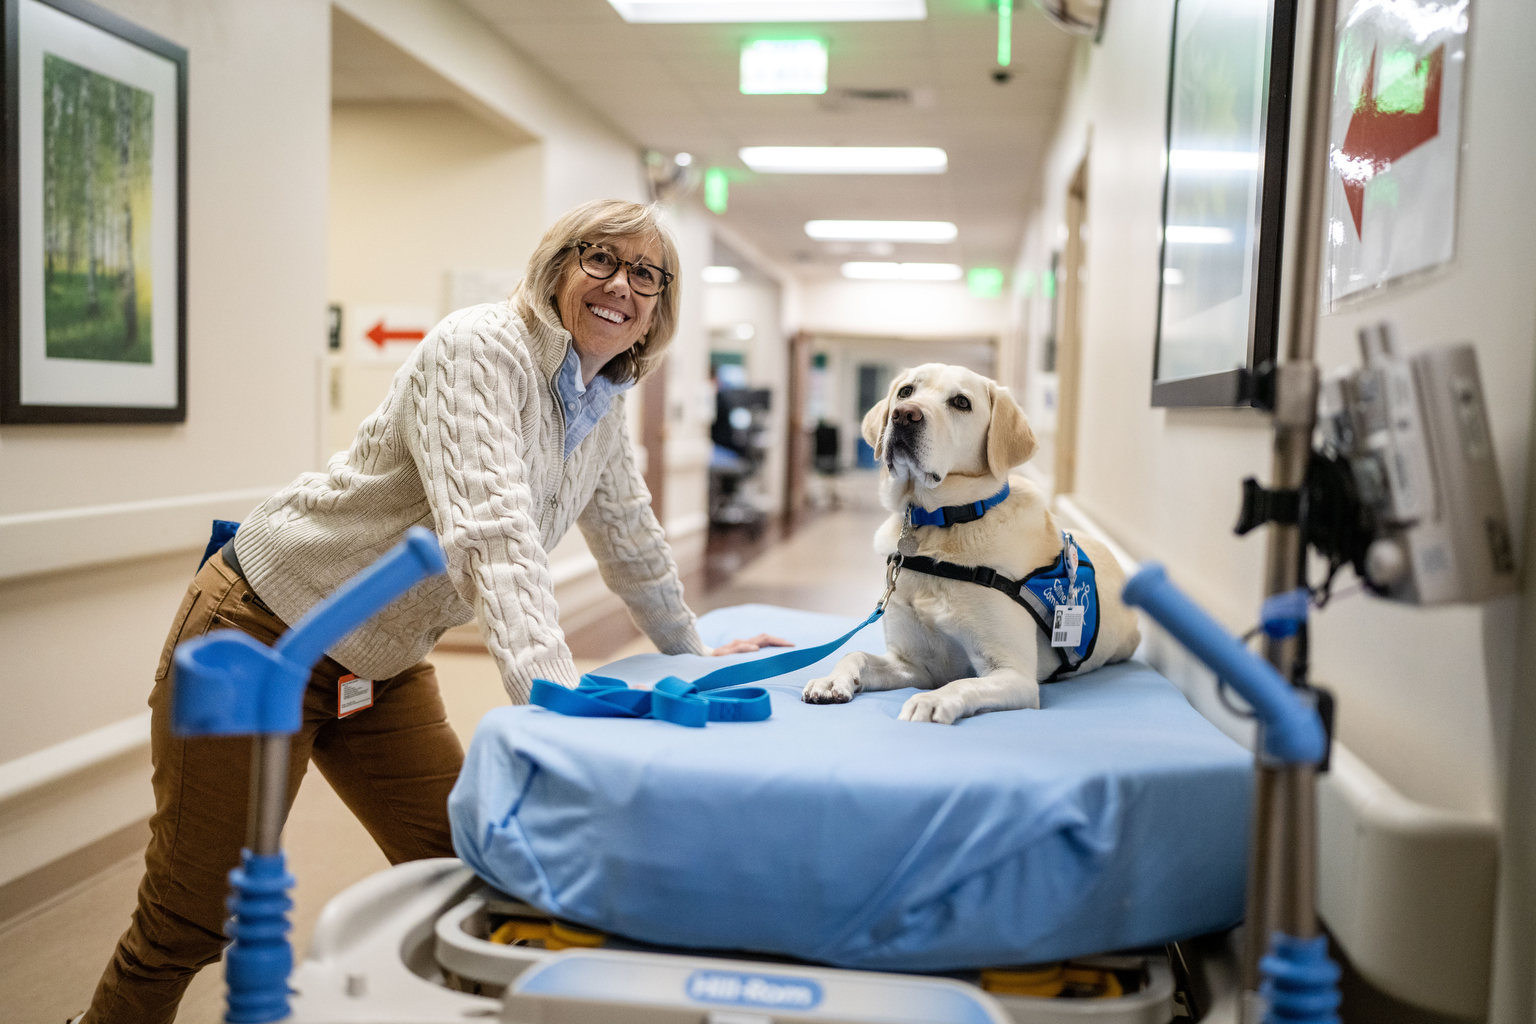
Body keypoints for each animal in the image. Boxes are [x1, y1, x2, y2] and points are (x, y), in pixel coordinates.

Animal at [804, 363, 1142, 724]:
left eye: (961, 402)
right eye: (906, 392)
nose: (904, 415)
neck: (941, 524)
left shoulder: (1013, 674)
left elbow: (961, 684)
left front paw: (929, 701)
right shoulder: (915, 664)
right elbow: (856, 653)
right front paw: (832, 680)